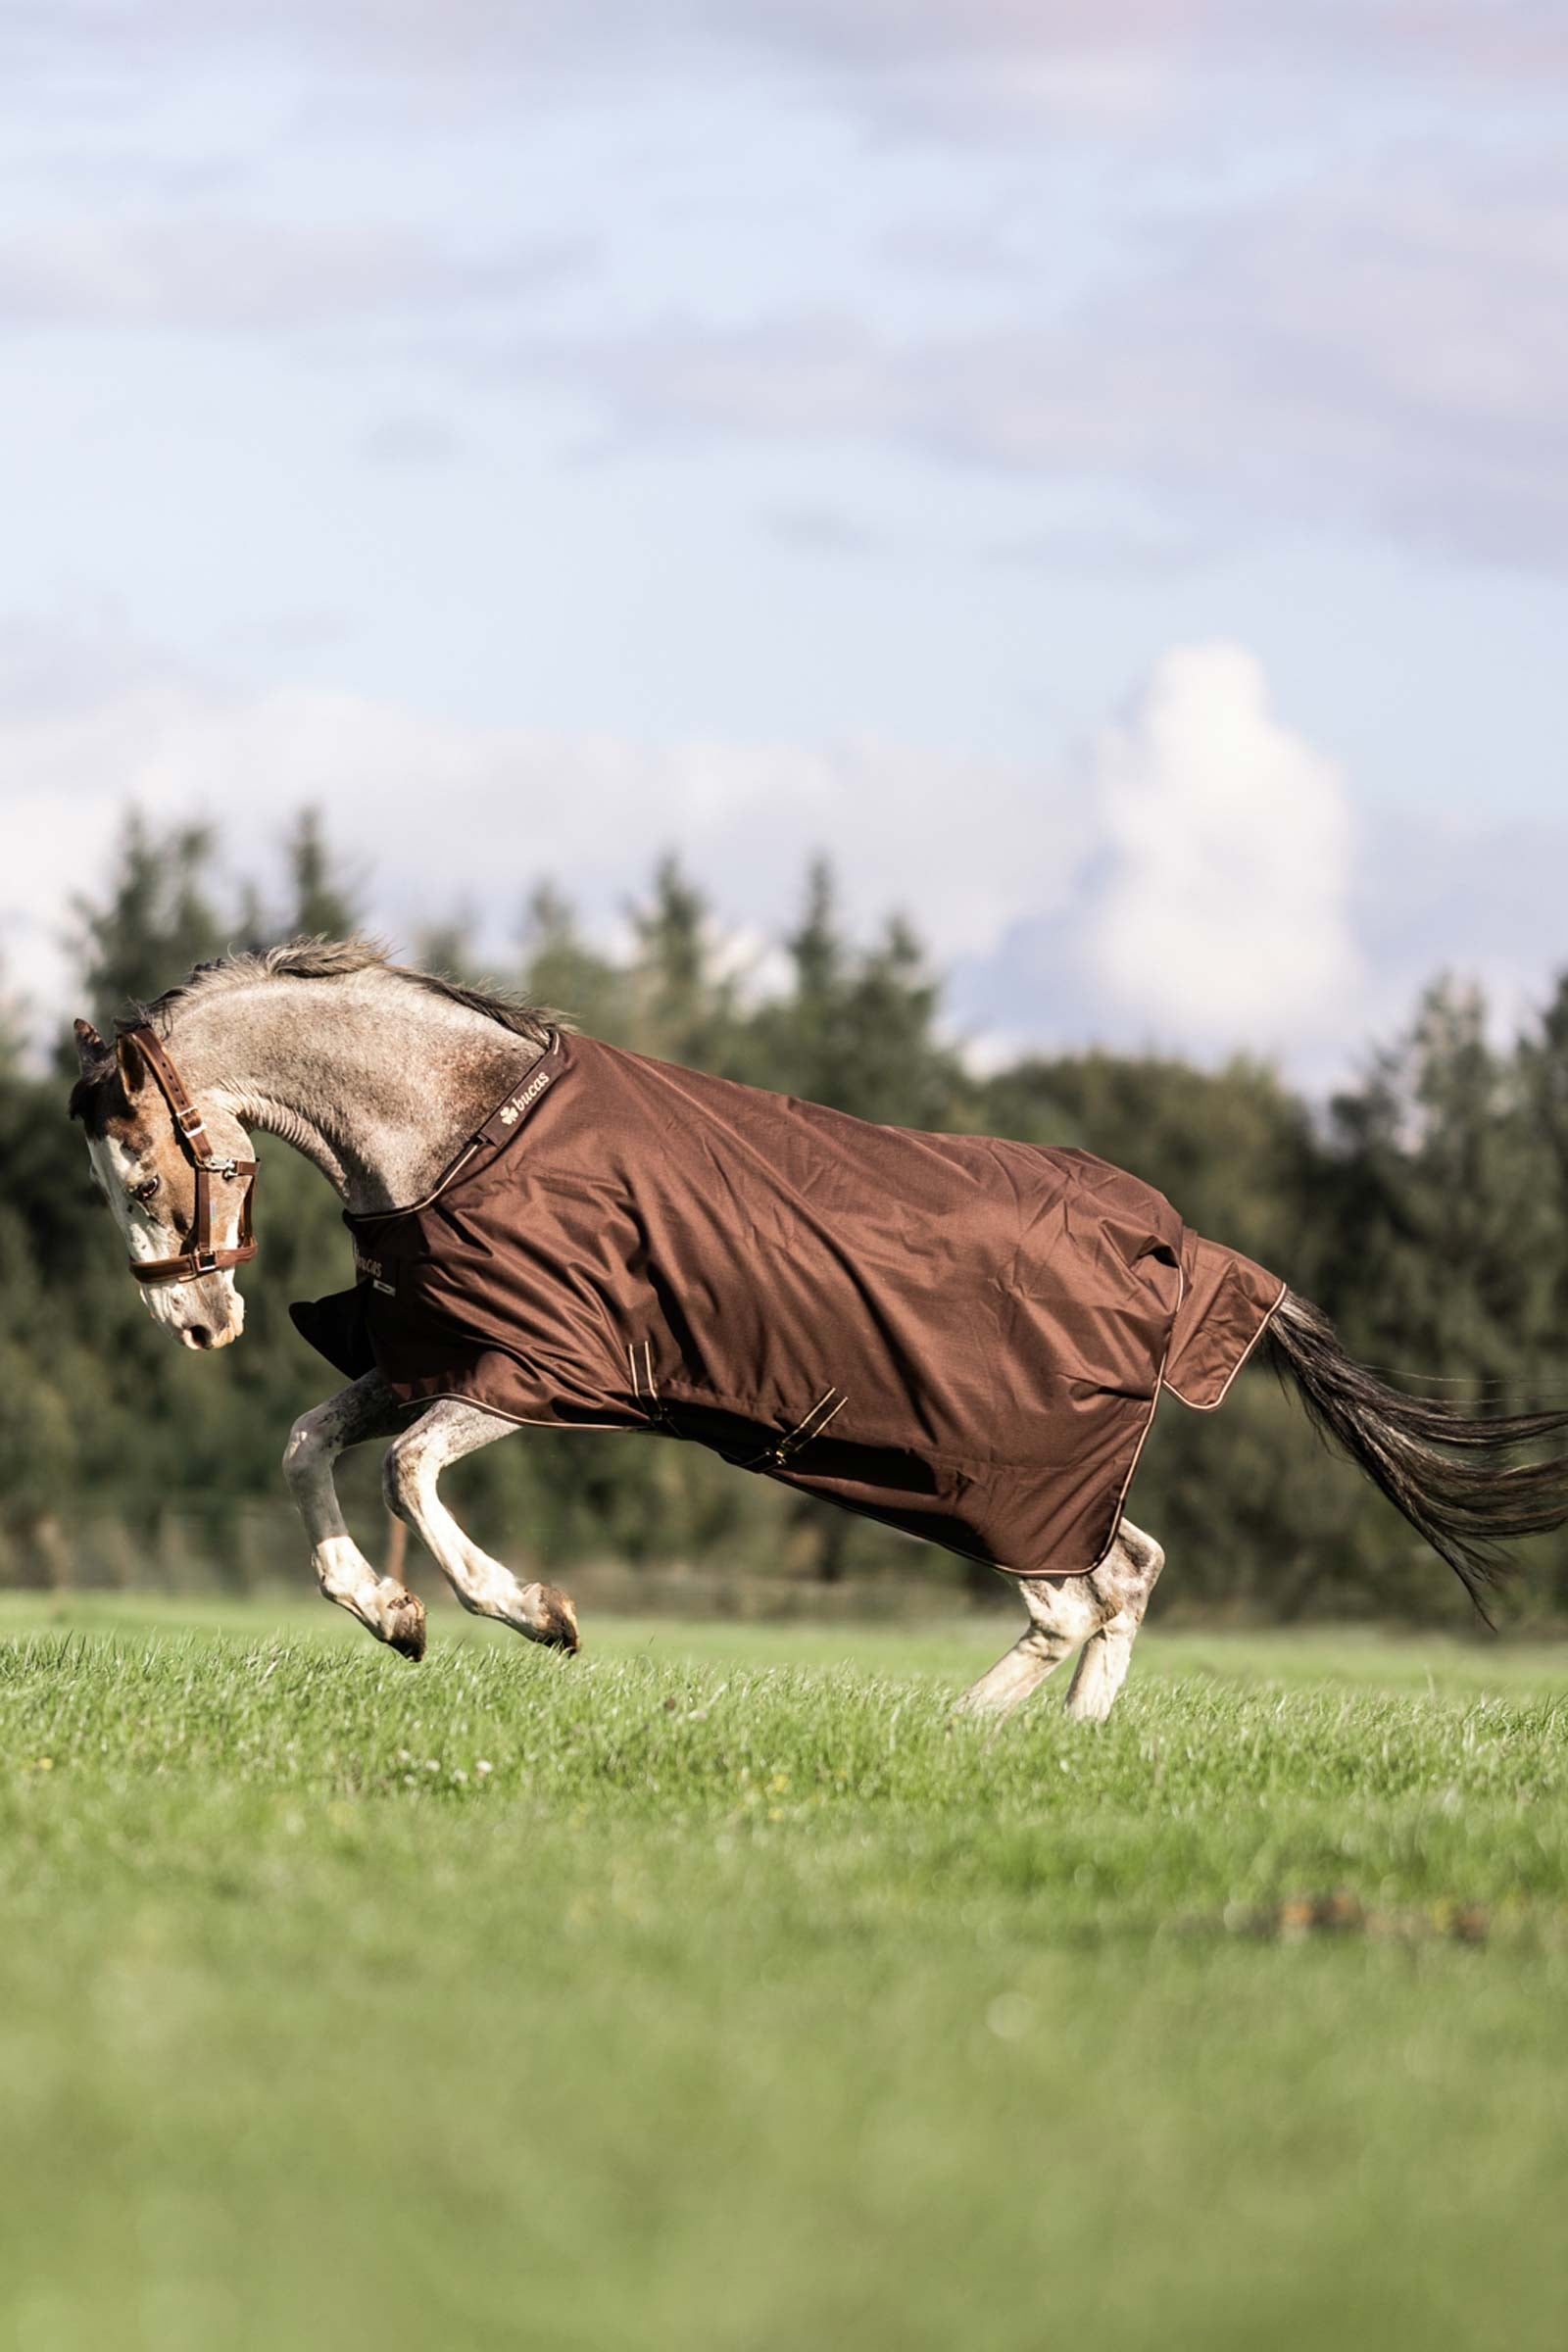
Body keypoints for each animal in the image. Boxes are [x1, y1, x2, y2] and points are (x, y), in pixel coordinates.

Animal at [68, 938, 1568, 1721]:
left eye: (137, 1176)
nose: (196, 1321)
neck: (461, 1124)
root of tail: (1186, 1248)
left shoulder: (539, 1370)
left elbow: (404, 1475)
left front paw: (537, 1615)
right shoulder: (422, 1355)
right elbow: (304, 1448)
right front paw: (388, 1619)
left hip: (991, 1482)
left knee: (1073, 1598)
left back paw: (961, 1741)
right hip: (1027, 1481)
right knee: (1128, 1573)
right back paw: (1068, 1750)